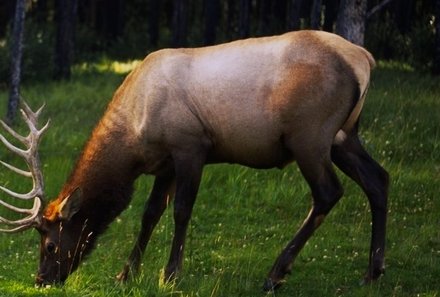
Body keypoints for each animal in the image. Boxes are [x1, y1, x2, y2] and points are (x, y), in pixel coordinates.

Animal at [1, 30, 390, 290]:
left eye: (50, 244)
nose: (41, 279)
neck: (134, 138)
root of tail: (364, 59)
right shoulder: (166, 163)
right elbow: (149, 213)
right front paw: (127, 273)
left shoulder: (190, 146)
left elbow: (181, 210)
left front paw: (170, 274)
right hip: (343, 136)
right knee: (379, 179)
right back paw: (373, 271)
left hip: (310, 136)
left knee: (328, 192)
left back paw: (275, 273)